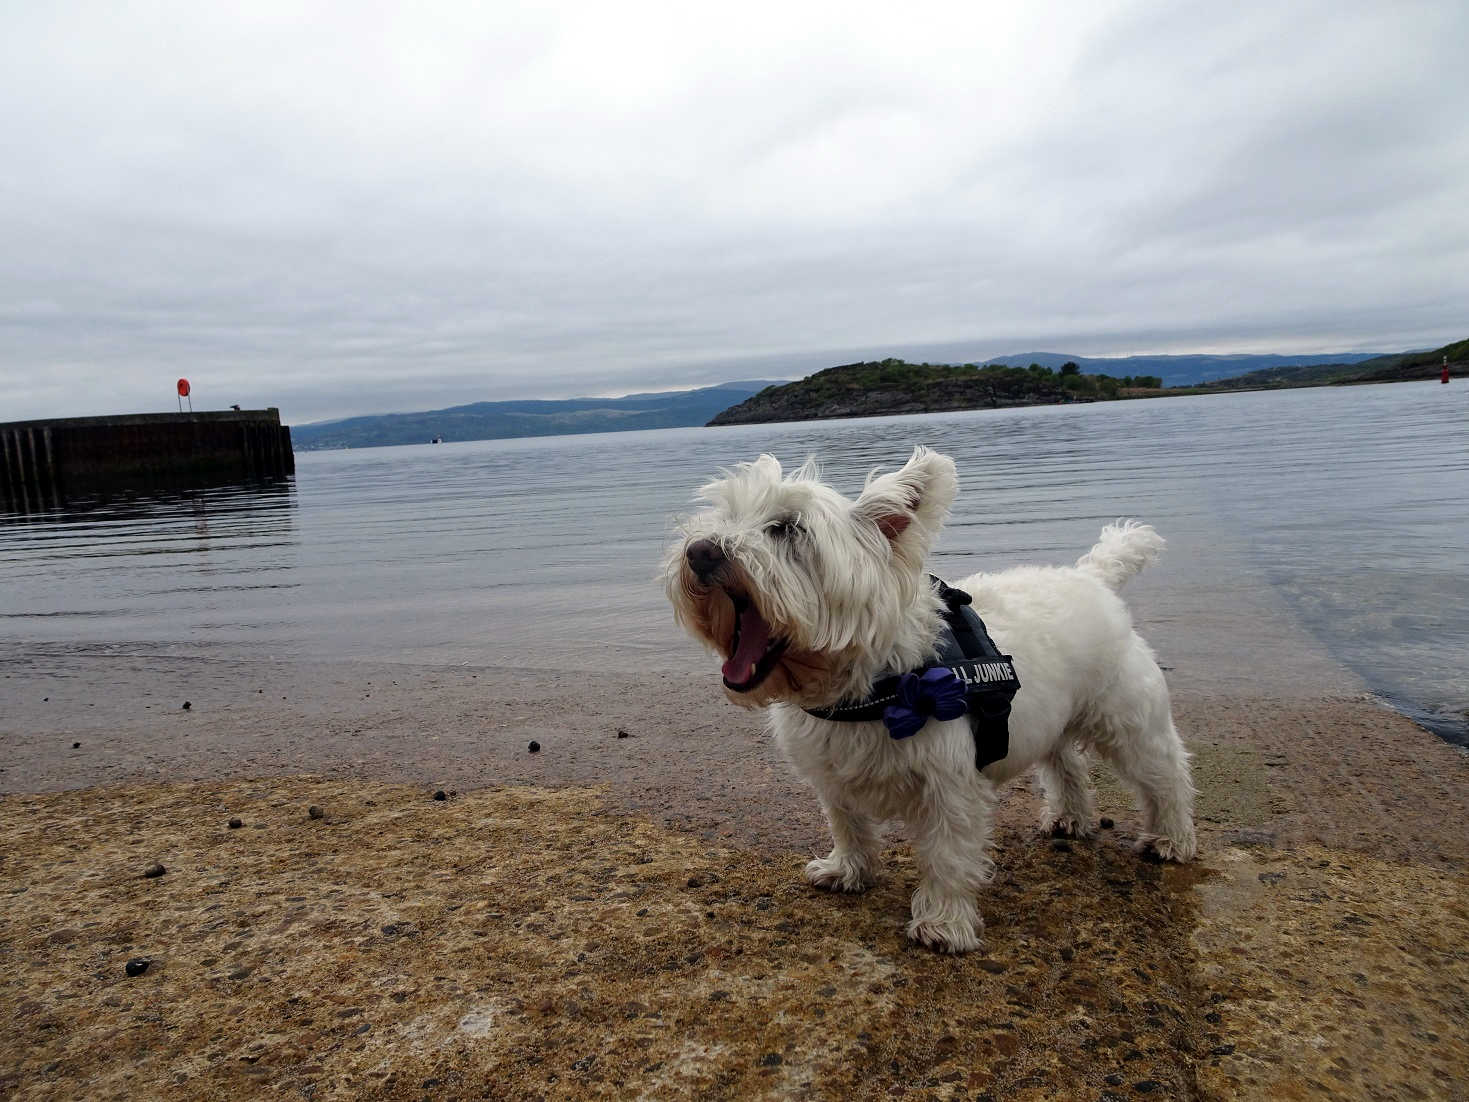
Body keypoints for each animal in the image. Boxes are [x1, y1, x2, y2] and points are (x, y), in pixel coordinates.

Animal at [666, 443, 1192, 952]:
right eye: (726, 515)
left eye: (787, 528)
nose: (700, 552)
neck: (868, 686)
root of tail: (1094, 578)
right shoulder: (832, 773)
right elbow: (847, 824)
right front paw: (847, 871)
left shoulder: (950, 785)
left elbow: (947, 857)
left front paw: (943, 924)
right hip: (1052, 719)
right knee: (1067, 765)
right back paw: (1069, 818)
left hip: (1128, 720)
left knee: (1166, 775)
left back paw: (1171, 839)